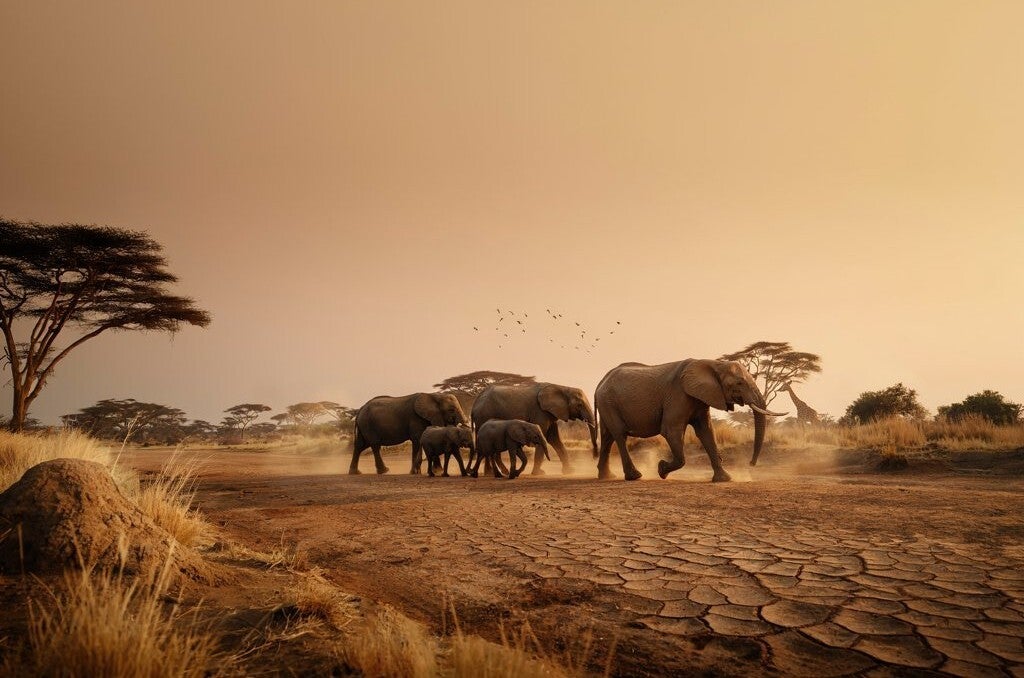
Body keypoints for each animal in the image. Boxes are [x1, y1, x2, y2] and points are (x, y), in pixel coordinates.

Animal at [594, 359, 786, 482]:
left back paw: (606, 477)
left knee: (607, 437)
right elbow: (671, 431)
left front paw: (724, 479)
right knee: (619, 435)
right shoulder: (678, 395)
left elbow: (706, 432)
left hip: (607, 404)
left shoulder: (701, 399)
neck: (713, 364)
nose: (751, 464)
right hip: (609, 402)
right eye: (739, 383)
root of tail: (600, 382)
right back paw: (635, 476)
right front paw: (661, 469)